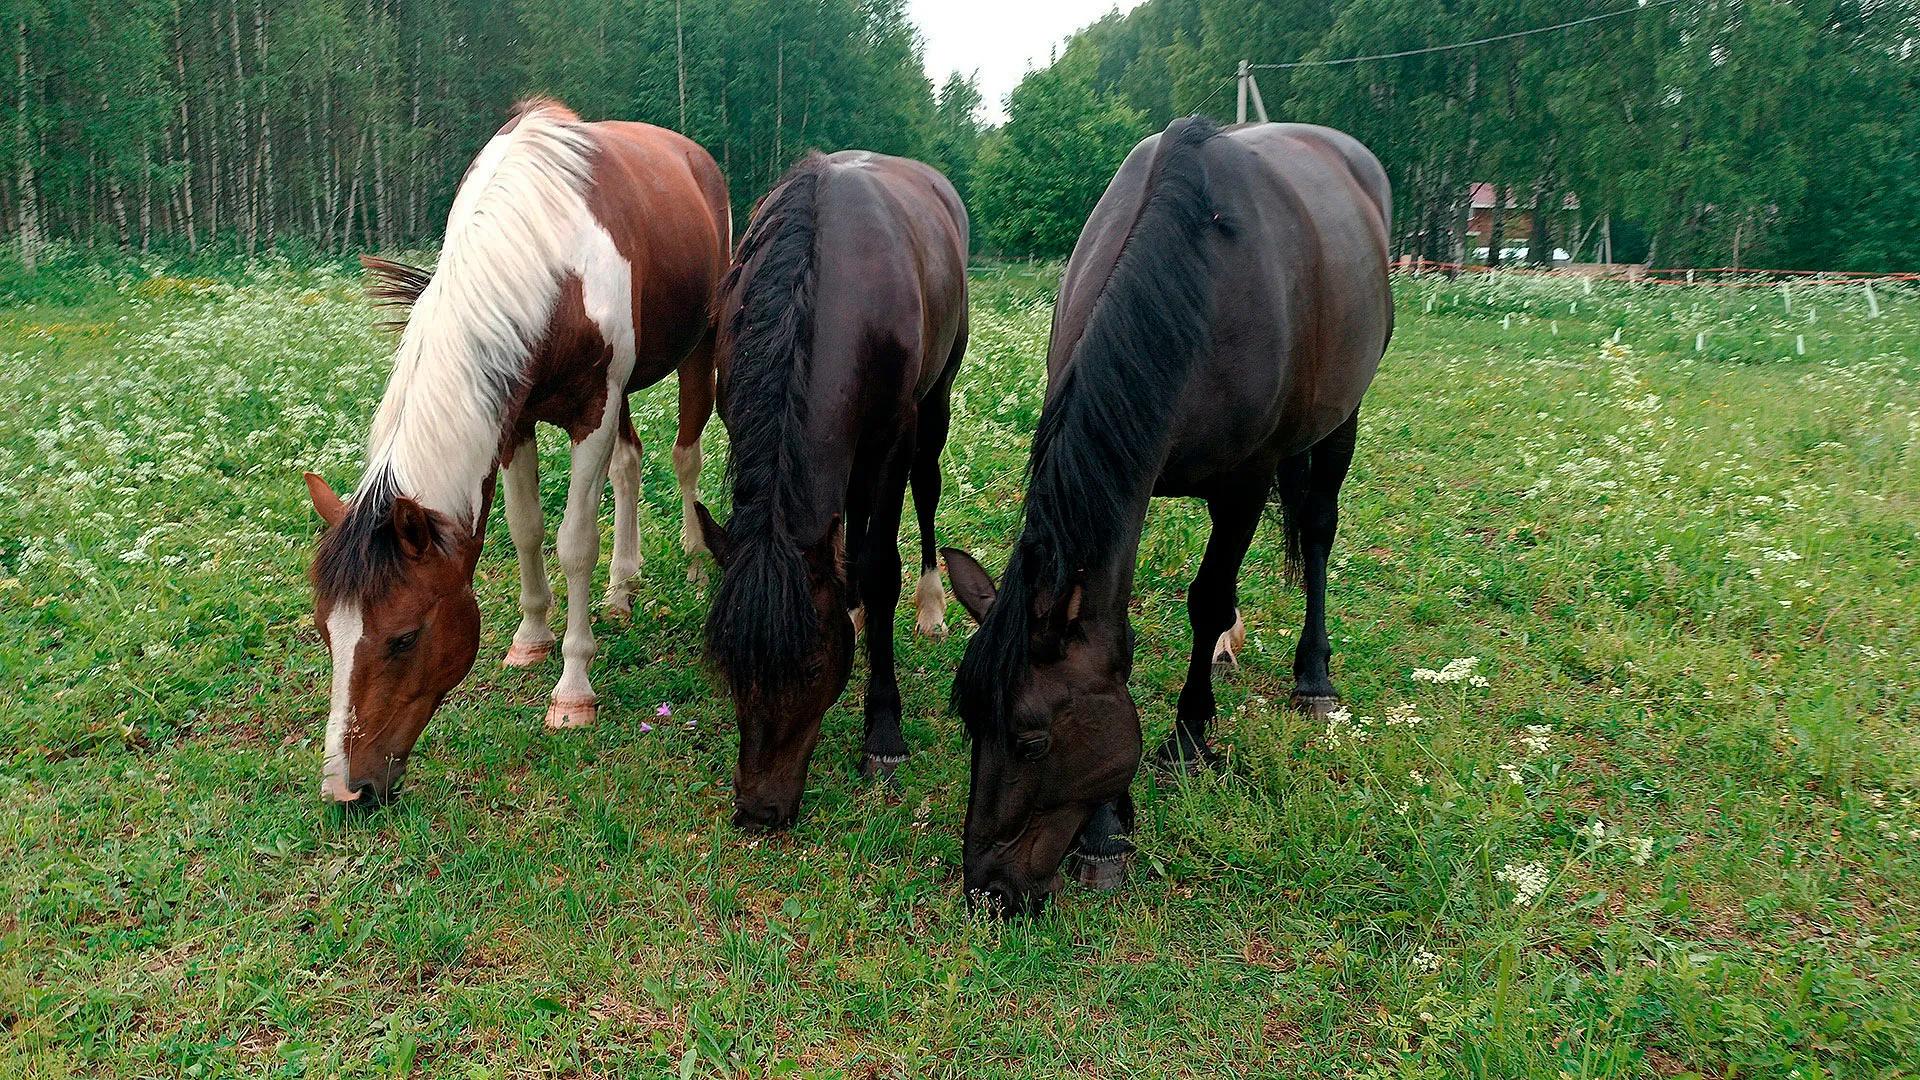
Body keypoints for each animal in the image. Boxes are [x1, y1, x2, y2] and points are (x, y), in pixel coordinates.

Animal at [302, 98, 730, 806]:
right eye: (323, 630)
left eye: (404, 638)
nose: (346, 787)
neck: (548, 255)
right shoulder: (514, 418)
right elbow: (527, 528)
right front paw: (531, 639)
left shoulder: (591, 411)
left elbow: (574, 542)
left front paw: (574, 690)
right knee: (629, 464)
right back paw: (622, 589)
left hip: (701, 346)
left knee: (684, 456)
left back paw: (696, 563)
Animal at [692, 150, 968, 831]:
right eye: (729, 663)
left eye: (815, 665)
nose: (760, 810)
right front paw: (853, 608)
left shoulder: (893, 433)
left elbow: (882, 566)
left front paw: (884, 732)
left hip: (936, 399)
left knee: (924, 491)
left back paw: (928, 605)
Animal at [942, 116, 1393, 914]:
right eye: (969, 724)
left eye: (1031, 742)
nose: (986, 890)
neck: (1192, 286)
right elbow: (1115, 635)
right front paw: (1104, 828)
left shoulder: (1245, 484)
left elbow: (1209, 599)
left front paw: (1187, 735)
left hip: (1342, 418)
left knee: (1316, 530)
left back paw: (1313, 677)